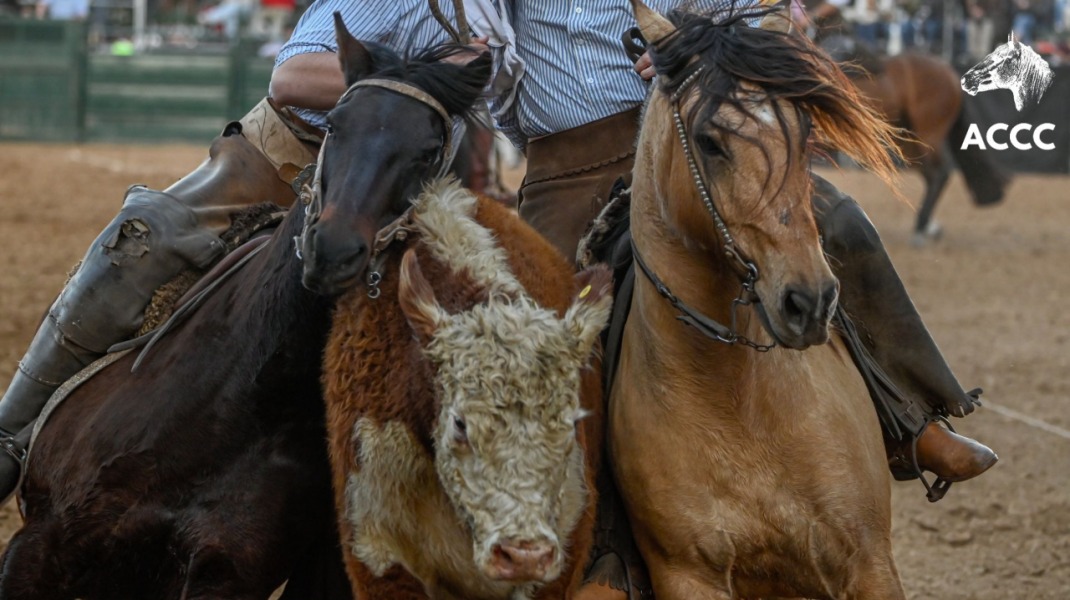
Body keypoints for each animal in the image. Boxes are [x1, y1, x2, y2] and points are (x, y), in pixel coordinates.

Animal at [0, 28, 490, 600]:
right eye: (337, 125)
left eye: (429, 152)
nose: (334, 249)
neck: (242, 397)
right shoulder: (39, 544)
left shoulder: (225, 573)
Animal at [607, 2, 907, 594]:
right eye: (708, 141)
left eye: (804, 128)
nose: (809, 300)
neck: (738, 399)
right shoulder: (687, 575)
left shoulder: (869, 561)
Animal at [813, 12, 1005, 241]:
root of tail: (949, 72)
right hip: (907, 139)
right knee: (930, 174)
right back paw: (928, 226)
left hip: (929, 134)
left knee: (940, 172)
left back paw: (922, 226)